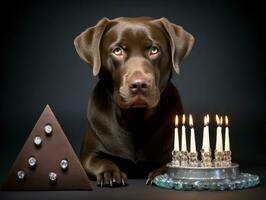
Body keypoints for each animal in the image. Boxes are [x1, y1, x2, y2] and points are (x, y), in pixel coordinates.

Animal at [74, 16, 194, 187]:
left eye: (154, 50)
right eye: (117, 51)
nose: (139, 84)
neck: (135, 119)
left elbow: (172, 164)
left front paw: (160, 174)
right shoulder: (88, 156)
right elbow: (102, 161)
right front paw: (110, 173)